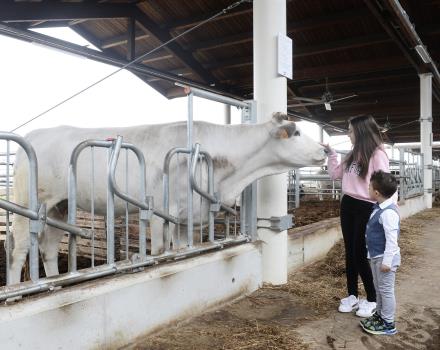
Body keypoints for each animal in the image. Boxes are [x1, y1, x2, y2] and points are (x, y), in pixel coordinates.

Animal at [11, 113, 326, 284]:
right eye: (297, 132)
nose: (325, 149)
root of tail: (37, 133)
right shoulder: (162, 210)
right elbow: (161, 250)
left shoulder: (188, 217)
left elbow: (184, 248)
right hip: (27, 204)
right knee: (19, 250)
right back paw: (15, 290)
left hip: (59, 207)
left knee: (48, 249)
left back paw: (56, 280)